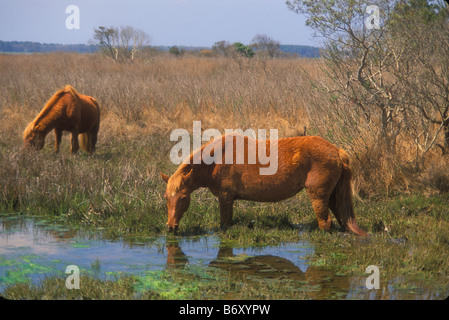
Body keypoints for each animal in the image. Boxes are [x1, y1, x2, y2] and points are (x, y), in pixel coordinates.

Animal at [161, 132, 368, 235]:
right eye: (166, 198)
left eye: (184, 197)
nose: (170, 227)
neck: (217, 157)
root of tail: (337, 151)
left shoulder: (225, 198)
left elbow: (225, 224)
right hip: (332, 196)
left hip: (318, 196)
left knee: (325, 223)